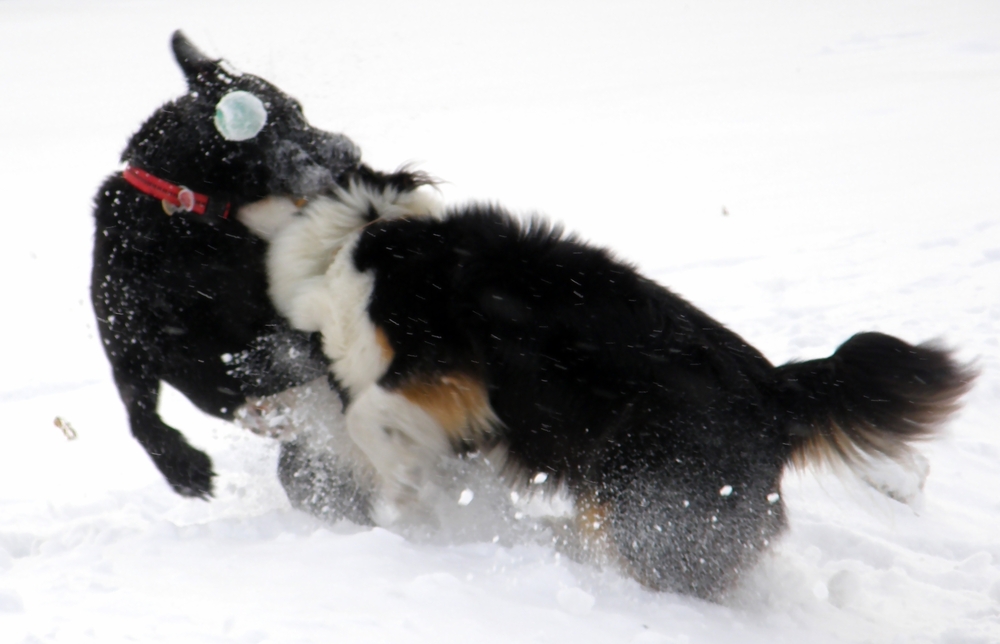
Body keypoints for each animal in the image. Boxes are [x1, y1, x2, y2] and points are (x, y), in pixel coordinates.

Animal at [268, 166, 976, 600]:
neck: (355, 240)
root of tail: (779, 391)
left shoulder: (439, 371)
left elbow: (366, 416)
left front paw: (403, 491)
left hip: (643, 481)